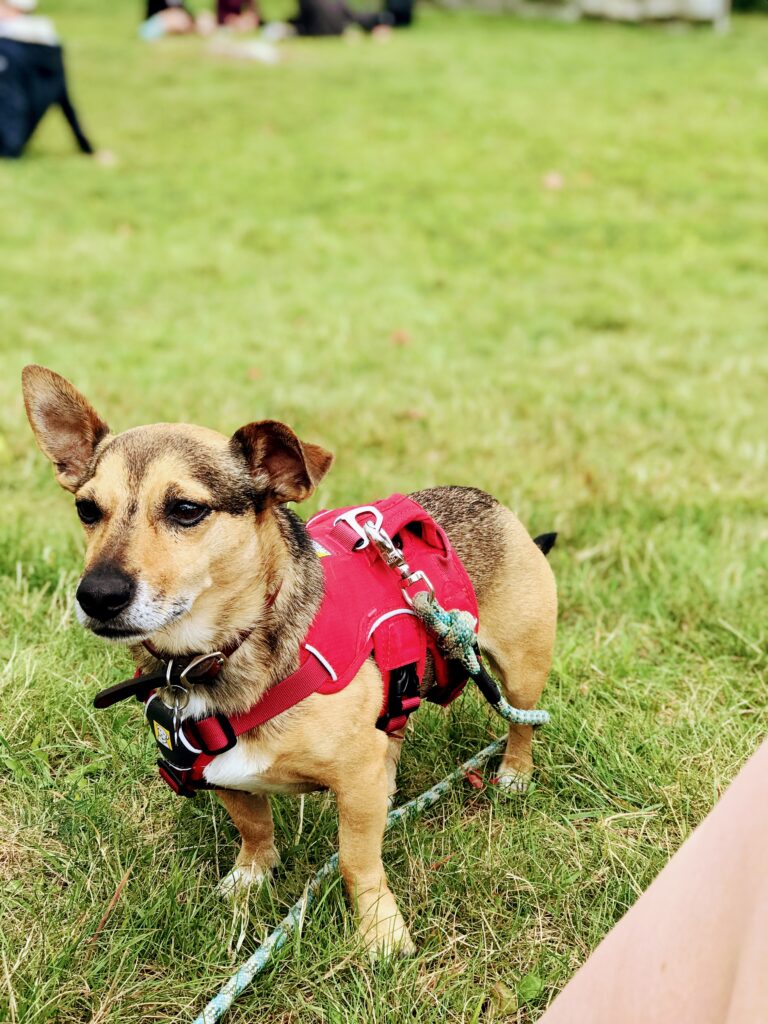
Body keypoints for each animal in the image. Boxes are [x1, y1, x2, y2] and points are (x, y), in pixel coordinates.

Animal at [20, 364, 557, 954]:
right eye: (87, 509)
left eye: (186, 510)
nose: (96, 595)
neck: (218, 654)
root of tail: (487, 500)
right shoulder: (224, 777)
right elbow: (254, 826)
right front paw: (251, 875)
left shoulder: (356, 787)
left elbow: (356, 861)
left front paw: (380, 933)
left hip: (522, 672)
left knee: (520, 726)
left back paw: (514, 774)